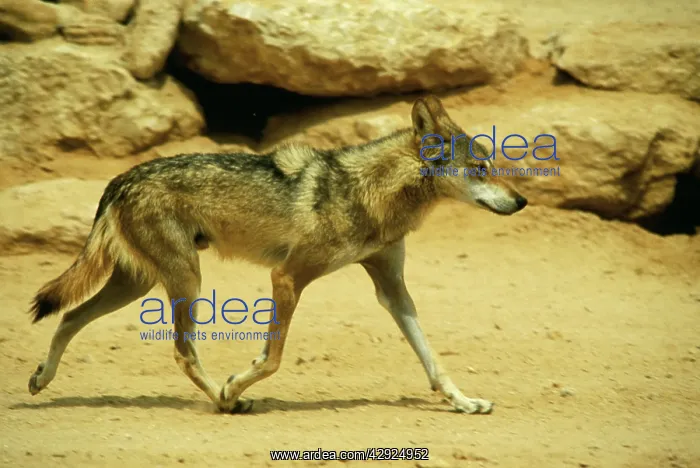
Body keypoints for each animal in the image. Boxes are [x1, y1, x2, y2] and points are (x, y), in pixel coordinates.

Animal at [27, 95, 527, 414]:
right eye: (481, 168)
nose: (521, 201)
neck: (370, 193)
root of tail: (122, 177)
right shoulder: (286, 278)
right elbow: (272, 358)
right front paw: (234, 386)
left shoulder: (393, 291)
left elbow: (433, 359)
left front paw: (464, 402)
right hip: (186, 282)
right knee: (182, 353)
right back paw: (224, 401)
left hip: (140, 283)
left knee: (69, 316)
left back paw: (42, 378)